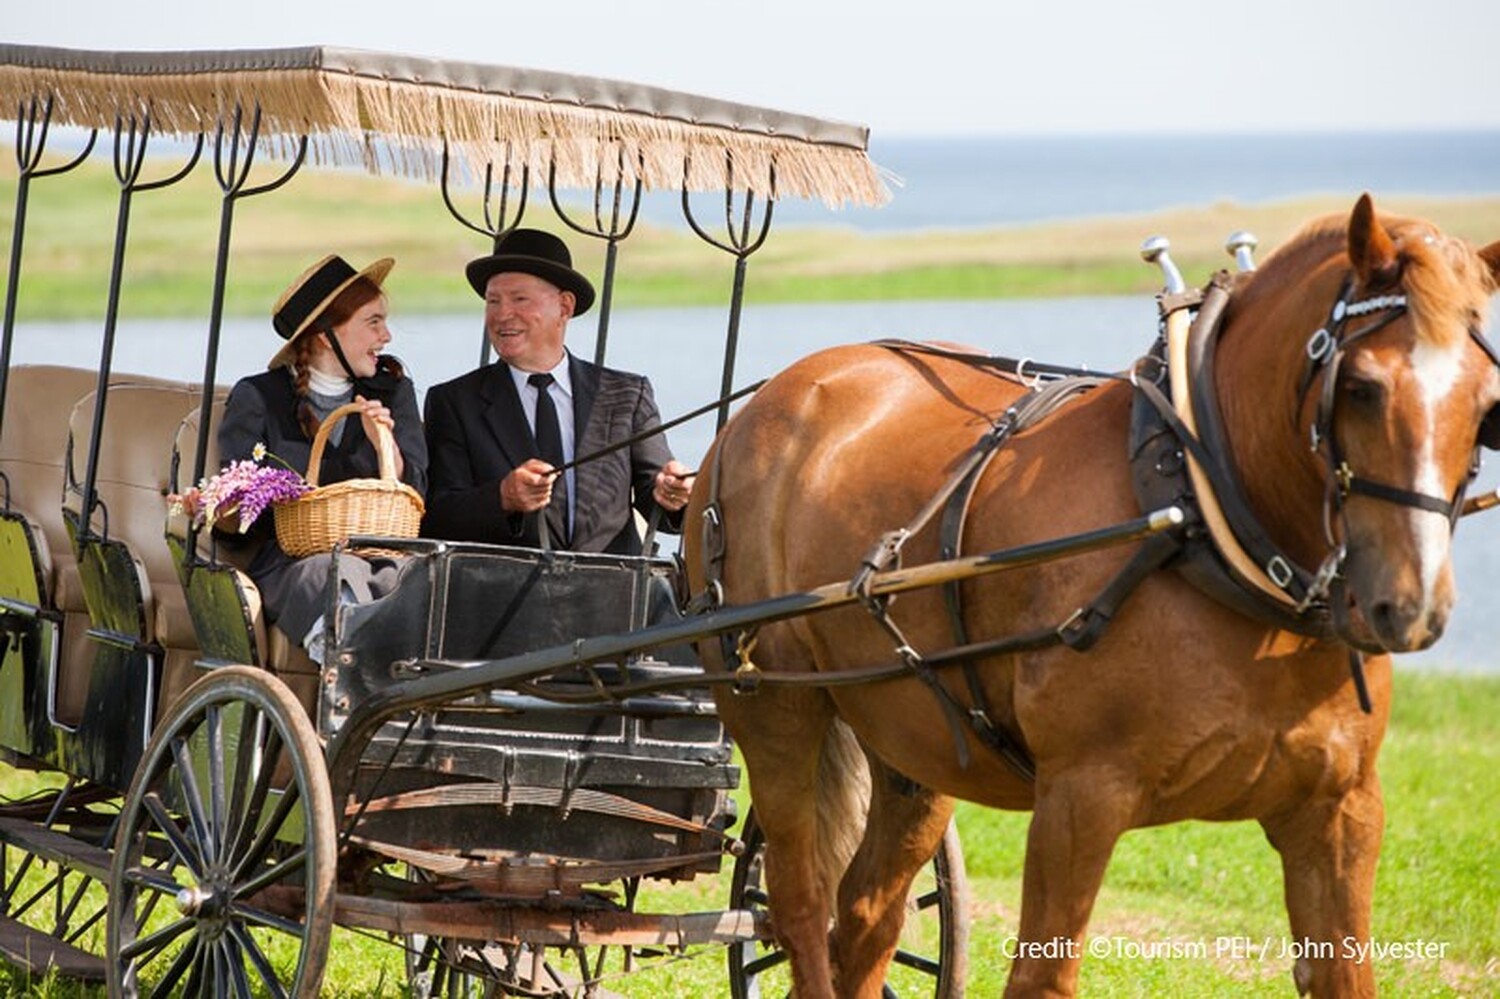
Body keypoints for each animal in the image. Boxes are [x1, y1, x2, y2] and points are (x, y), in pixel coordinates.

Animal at [687, 196, 1500, 996]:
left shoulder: (1341, 811)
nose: (1412, 606)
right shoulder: (1079, 801)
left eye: (1488, 405)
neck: (1203, 515)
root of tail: (772, 399)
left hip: (910, 742)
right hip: (776, 710)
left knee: (862, 918)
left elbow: (1344, 966)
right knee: (798, 903)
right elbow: (1041, 975)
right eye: (1361, 387)